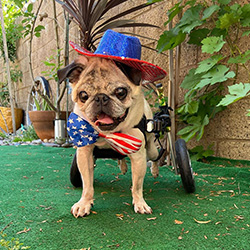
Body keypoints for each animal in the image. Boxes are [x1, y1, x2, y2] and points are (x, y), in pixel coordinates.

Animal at [57, 54, 161, 217]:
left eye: (120, 92)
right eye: (83, 95)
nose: (100, 97)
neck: (108, 133)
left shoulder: (138, 157)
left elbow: (137, 185)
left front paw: (140, 203)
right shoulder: (84, 153)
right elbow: (87, 184)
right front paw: (84, 203)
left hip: (150, 149)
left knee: (156, 157)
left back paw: (155, 171)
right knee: (120, 156)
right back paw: (123, 166)